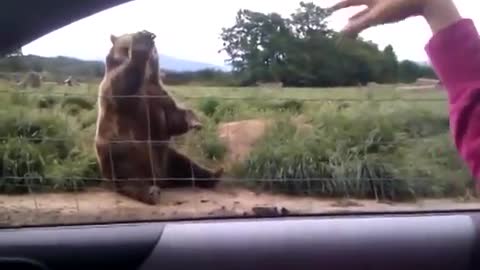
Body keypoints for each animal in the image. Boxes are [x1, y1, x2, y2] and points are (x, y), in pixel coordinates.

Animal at [94, 30, 224, 205]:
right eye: (126, 45)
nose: (150, 50)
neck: (146, 76)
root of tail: (159, 178)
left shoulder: (158, 93)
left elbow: (173, 119)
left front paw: (194, 121)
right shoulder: (116, 91)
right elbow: (122, 87)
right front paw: (142, 43)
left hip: (166, 157)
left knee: (185, 165)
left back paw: (214, 174)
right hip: (122, 152)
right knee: (129, 176)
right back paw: (150, 192)